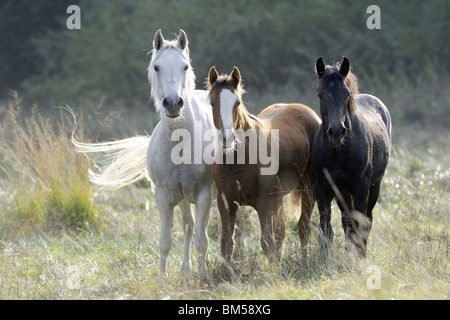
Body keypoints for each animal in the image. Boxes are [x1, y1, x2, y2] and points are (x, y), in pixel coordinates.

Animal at [72, 30, 216, 276]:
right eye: (157, 67)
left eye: (185, 66)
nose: (173, 103)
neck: (180, 145)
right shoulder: (163, 196)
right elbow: (166, 240)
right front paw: (162, 277)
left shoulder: (205, 194)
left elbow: (202, 241)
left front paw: (203, 276)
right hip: (184, 198)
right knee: (188, 226)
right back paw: (184, 270)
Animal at [207, 67, 320, 262]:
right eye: (213, 103)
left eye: (237, 103)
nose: (227, 138)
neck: (238, 161)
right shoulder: (225, 203)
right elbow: (227, 244)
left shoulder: (263, 203)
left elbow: (267, 244)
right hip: (279, 197)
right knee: (282, 230)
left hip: (308, 188)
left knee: (303, 227)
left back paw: (304, 261)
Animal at [312, 57, 390, 258]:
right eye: (320, 95)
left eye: (346, 94)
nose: (336, 131)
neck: (338, 152)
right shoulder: (323, 188)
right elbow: (327, 228)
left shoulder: (361, 187)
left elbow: (360, 225)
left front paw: (359, 259)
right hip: (344, 193)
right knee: (347, 222)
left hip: (374, 187)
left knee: (366, 221)